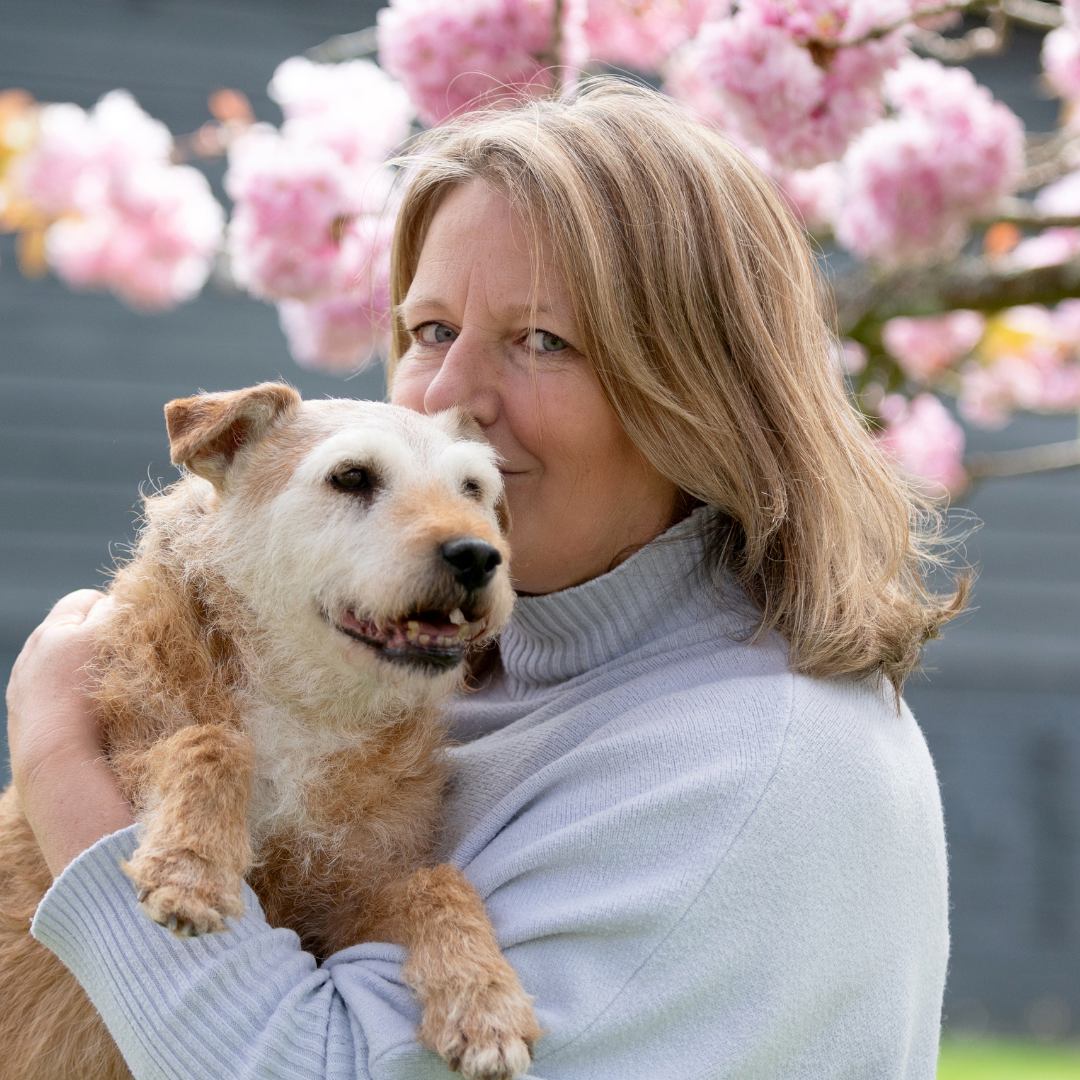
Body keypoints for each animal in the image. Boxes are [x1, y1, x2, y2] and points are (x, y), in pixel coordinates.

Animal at [0, 383, 541, 1080]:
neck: (303, 705)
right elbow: (211, 741)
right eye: (352, 477)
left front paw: (485, 999)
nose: (477, 555)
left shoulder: (347, 904)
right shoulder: (131, 752)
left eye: (472, 488)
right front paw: (192, 868)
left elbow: (434, 884)